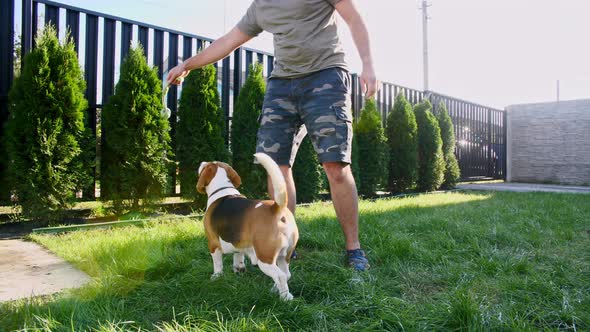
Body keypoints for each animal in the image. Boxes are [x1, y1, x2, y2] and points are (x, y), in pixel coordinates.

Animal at [199, 153, 300, 300]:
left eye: (206, 165)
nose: (202, 162)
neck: (222, 189)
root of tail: (277, 208)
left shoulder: (213, 244)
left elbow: (217, 264)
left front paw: (216, 277)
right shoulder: (238, 243)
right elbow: (238, 256)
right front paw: (239, 270)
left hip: (265, 258)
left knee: (280, 276)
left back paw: (285, 298)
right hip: (285, 255)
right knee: (286, 274)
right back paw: (275, 290)